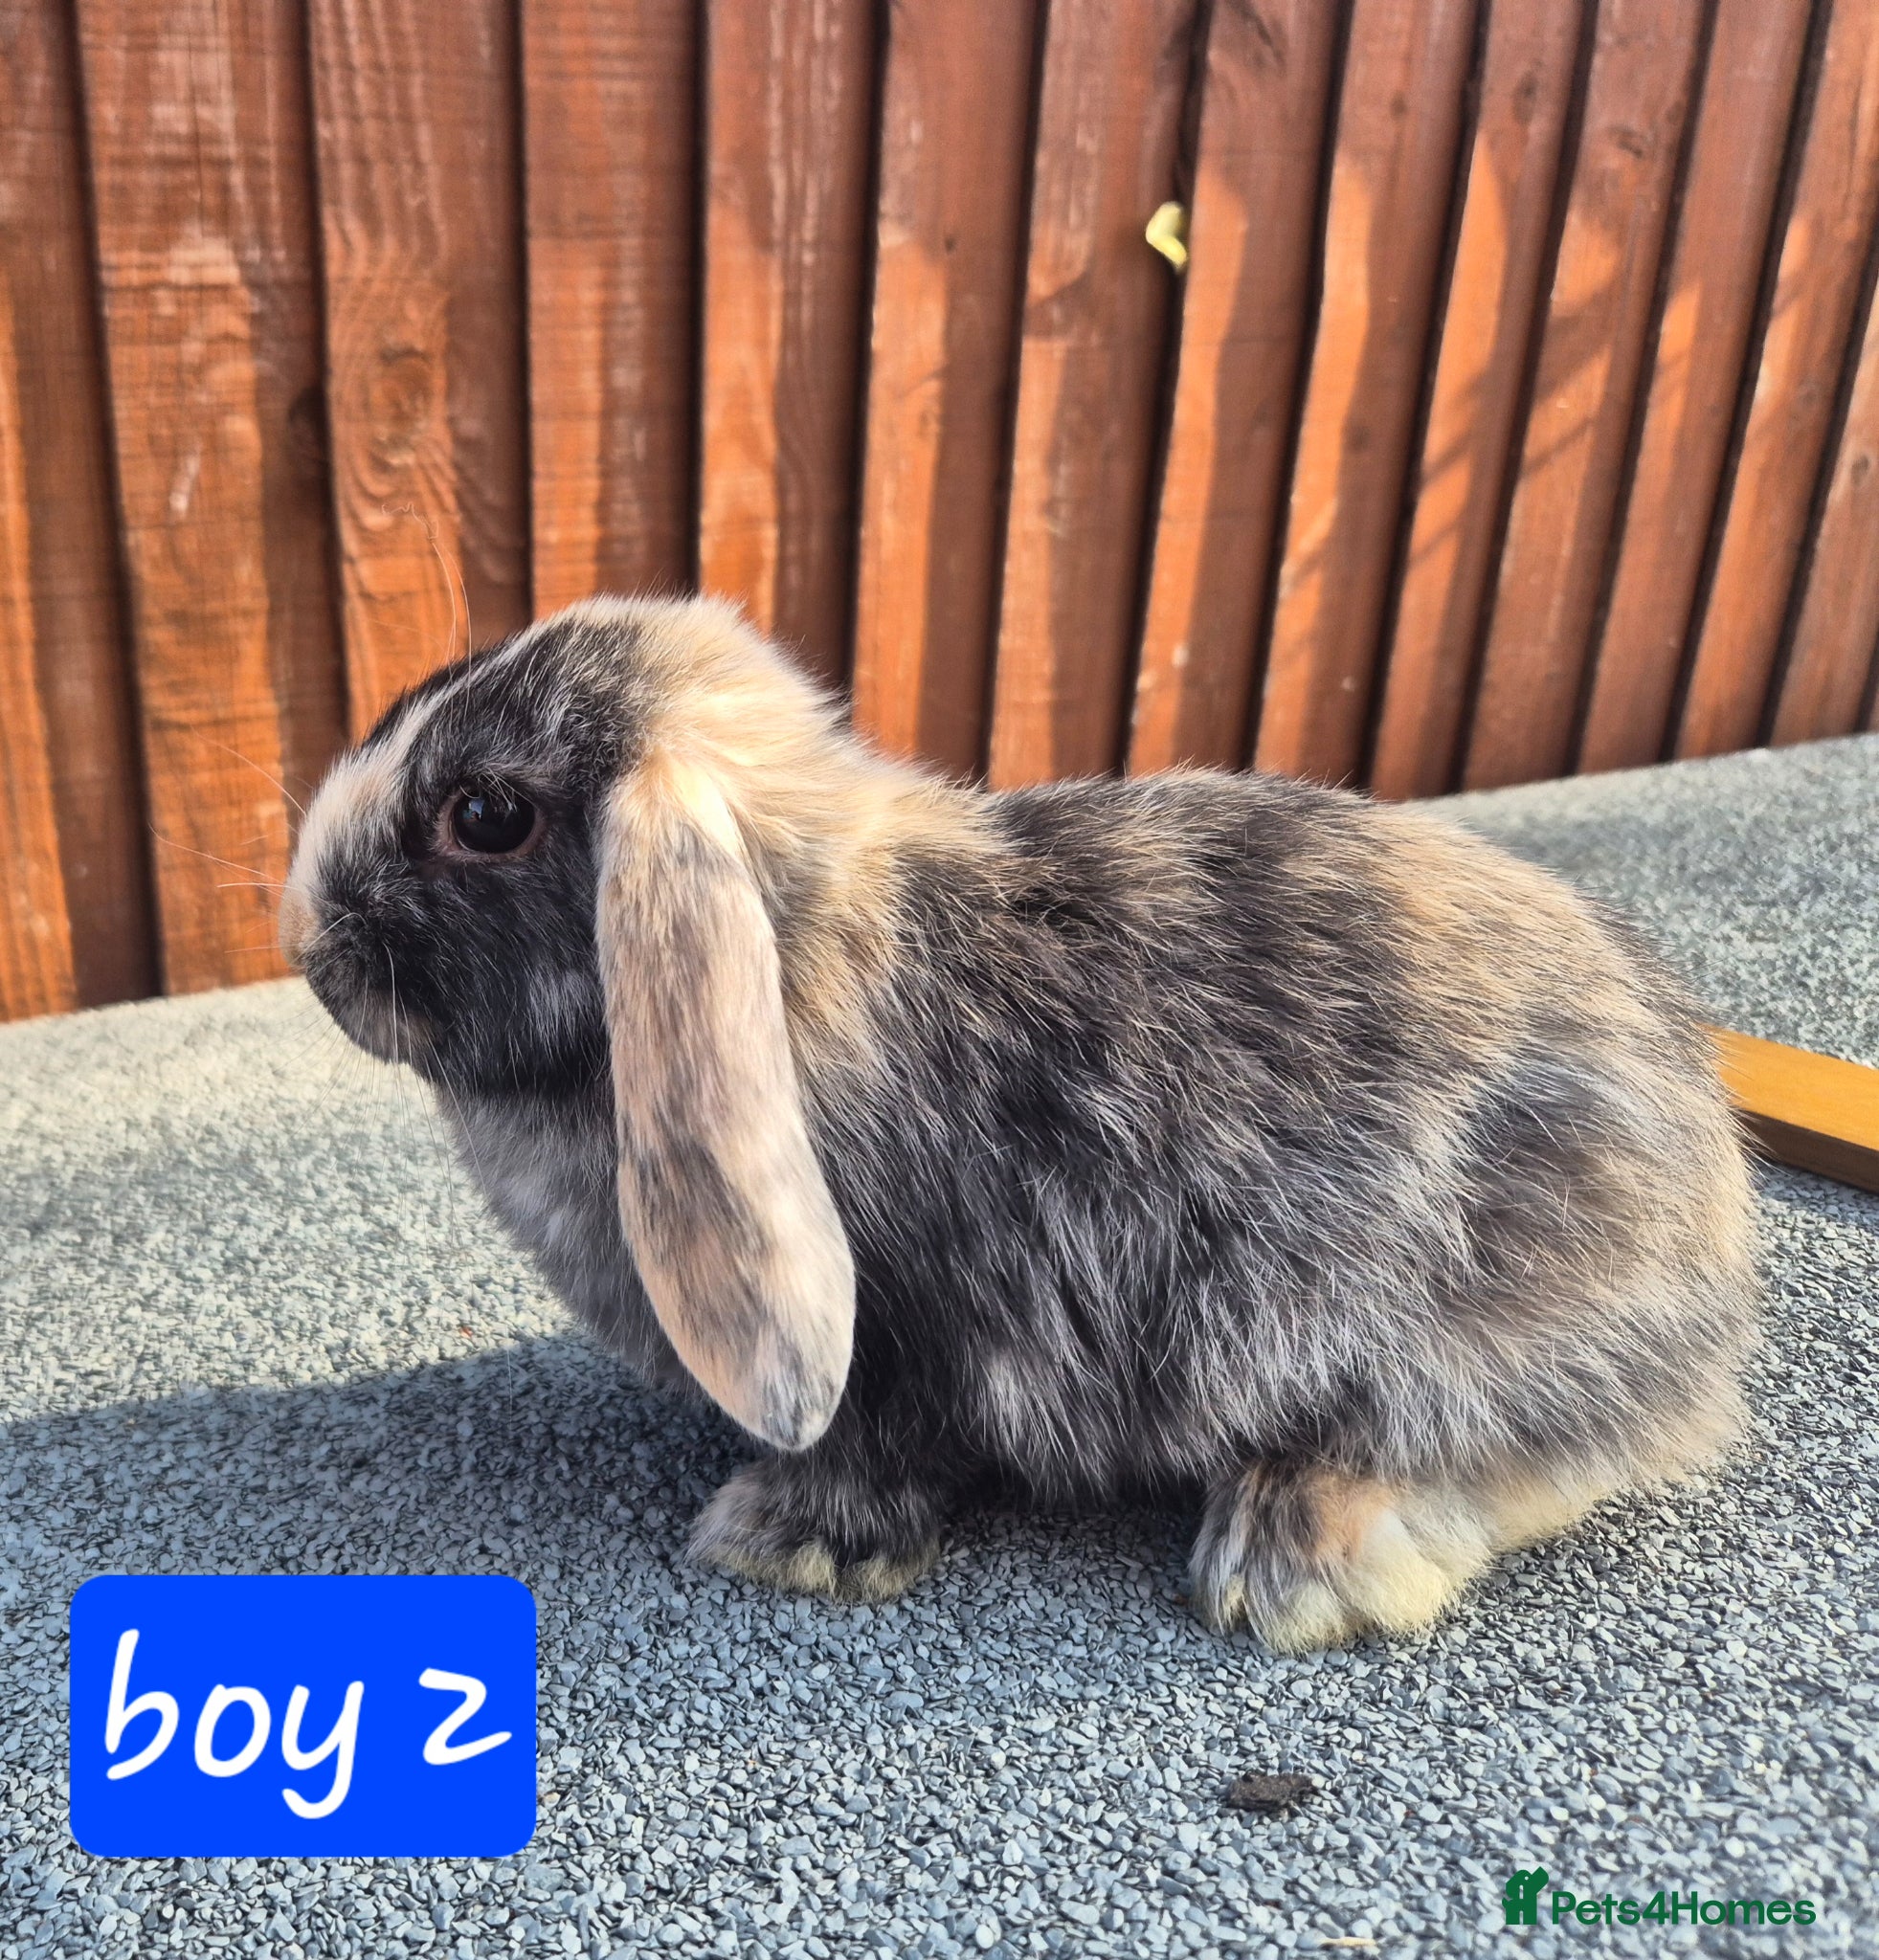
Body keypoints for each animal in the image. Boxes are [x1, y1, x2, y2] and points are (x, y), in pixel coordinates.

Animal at [280, 595, 1758, 1651]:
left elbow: (874, 1448)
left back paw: (1290, 1560)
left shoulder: (897, 1339)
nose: (306, 946)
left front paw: (777, 1541)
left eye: (486, 814)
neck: (799, 953)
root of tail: (1709, 1246)